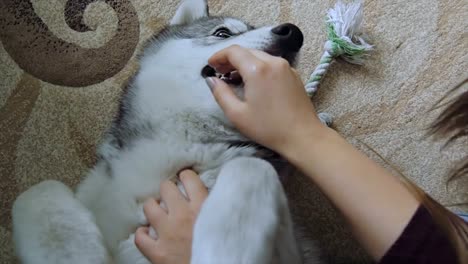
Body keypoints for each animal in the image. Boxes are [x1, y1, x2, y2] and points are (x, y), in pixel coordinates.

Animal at [12, 0, 324, 264]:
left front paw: (227, 249)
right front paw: (78, 253)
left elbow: (250, 168)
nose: (293, 33)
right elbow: (37, 192)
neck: (178, 148)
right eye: (222, 32)